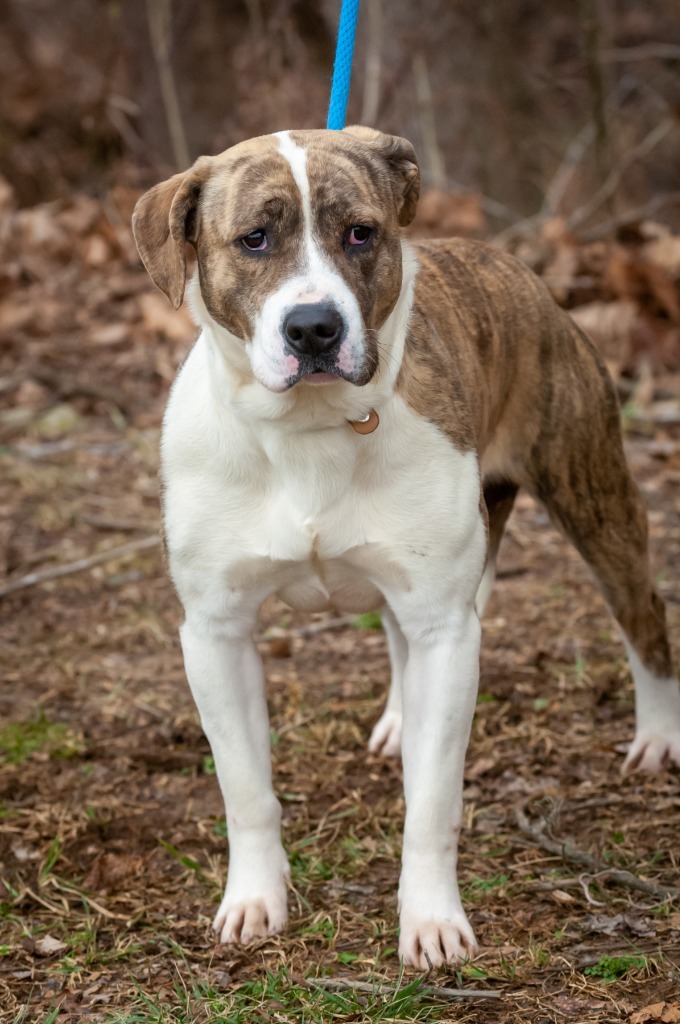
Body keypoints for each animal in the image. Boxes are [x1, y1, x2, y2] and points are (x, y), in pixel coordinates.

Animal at [133, 125, 680, 966]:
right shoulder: (215, 634)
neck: (309, 431)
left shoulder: (447, 631)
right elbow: (247, 789)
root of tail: (520, 270)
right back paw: (399, 720)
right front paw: (255, 900)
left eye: (361, 233)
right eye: (254, 239)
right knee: (395, 641)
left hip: (595, 503)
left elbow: (431, 802)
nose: (314, 328)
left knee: (643, 614)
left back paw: (656, 737)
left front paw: (430, 920)